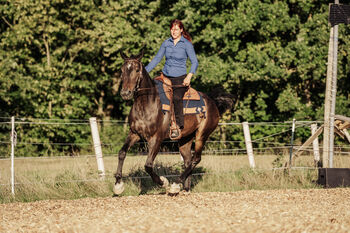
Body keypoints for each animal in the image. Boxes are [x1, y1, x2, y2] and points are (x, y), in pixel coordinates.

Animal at [113, 50, 232, 195]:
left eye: (136, 70)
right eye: (122, 70)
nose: (125, 93)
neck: (147, 104)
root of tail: (213, 102)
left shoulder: (156, 139)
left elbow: (148, 165)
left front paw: (163, 182)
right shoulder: (134, 134)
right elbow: (122, 153)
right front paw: (118, 185)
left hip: (201, 135)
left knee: (196, 159)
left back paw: (175, 184)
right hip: (185, 139)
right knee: (188, 161)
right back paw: (185, 189)